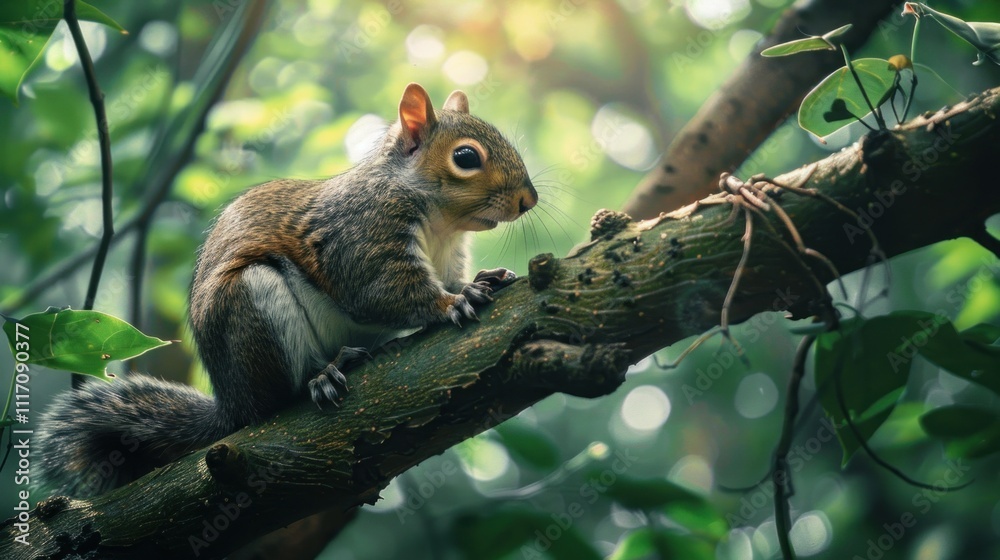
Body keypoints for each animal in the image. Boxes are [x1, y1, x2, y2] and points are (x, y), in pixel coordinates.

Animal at [35, 83, 537, 498]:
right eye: (466, 158)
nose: (528, 200)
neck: (440, 222)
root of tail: (232, 405)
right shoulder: (362, 236)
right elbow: (383, 291)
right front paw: (451, 301)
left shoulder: (447, 255)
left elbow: (449, 276)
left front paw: (480, 280)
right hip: (251, 305)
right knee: (280, 396)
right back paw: (326, 372)